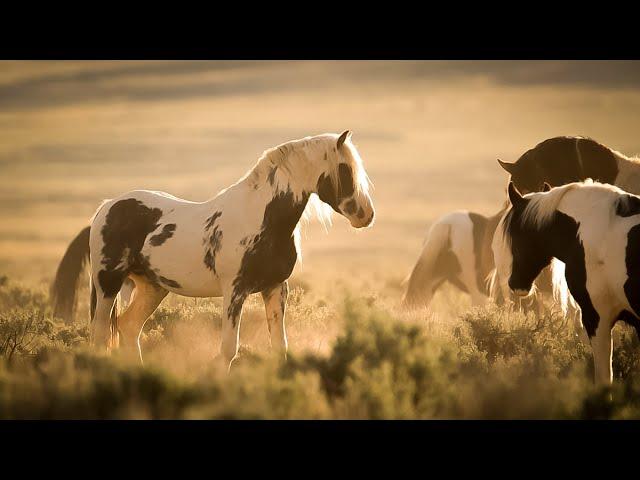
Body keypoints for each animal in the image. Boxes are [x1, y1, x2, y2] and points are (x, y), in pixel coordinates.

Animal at [51, 131, 376, 368]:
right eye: (344, 170)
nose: (366, 215)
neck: (258, 217)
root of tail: (105, 207)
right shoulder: (234, 291)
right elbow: (229, 349)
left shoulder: (275, 288)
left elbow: (279, 346)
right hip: (108, 284)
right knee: (100, 333)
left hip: (151, 288)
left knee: (128, 328)